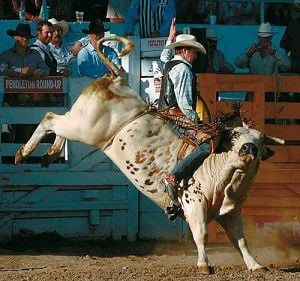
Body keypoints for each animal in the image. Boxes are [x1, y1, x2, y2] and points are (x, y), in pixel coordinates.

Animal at [14, 36, 286, 272]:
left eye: (259, 140)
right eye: (233, 137)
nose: (249, 148)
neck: (225, 177)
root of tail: (116, 78)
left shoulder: (231, 213)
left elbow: (241, 241)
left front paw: (255, 265)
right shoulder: (194, 204)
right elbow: (201, 234)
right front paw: (204, 265)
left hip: (80, 123)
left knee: (58, 124)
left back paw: (50, 153)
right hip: (86, 127)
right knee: (50, 118)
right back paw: (22, 153)